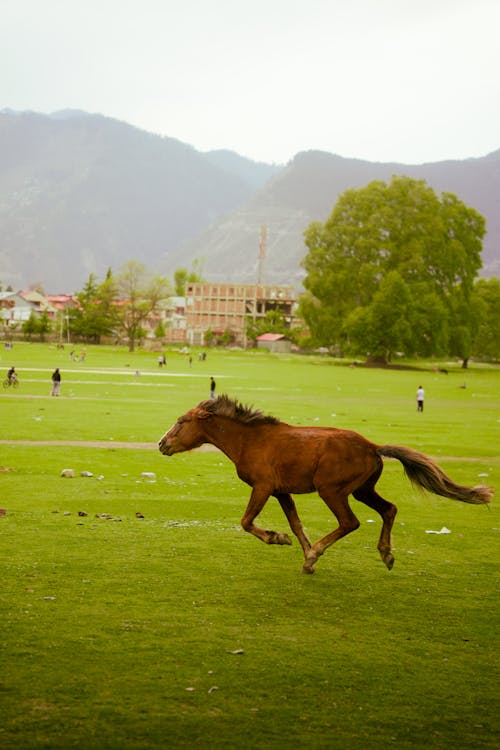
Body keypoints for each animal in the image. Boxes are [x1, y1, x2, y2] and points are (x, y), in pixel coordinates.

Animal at [158, 394, 494, 576]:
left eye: (181, 421)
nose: (161, 444)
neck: (251, 440)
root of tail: (372, 447)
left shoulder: (263, 487)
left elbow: (246, 521)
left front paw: (282, 541)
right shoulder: (282, 491)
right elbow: (296, 524)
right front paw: (304, 555)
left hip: (332, 490)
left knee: (350, 522)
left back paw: (322, 551)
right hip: (362, 490)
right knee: (389, 509)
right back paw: (385, 554)